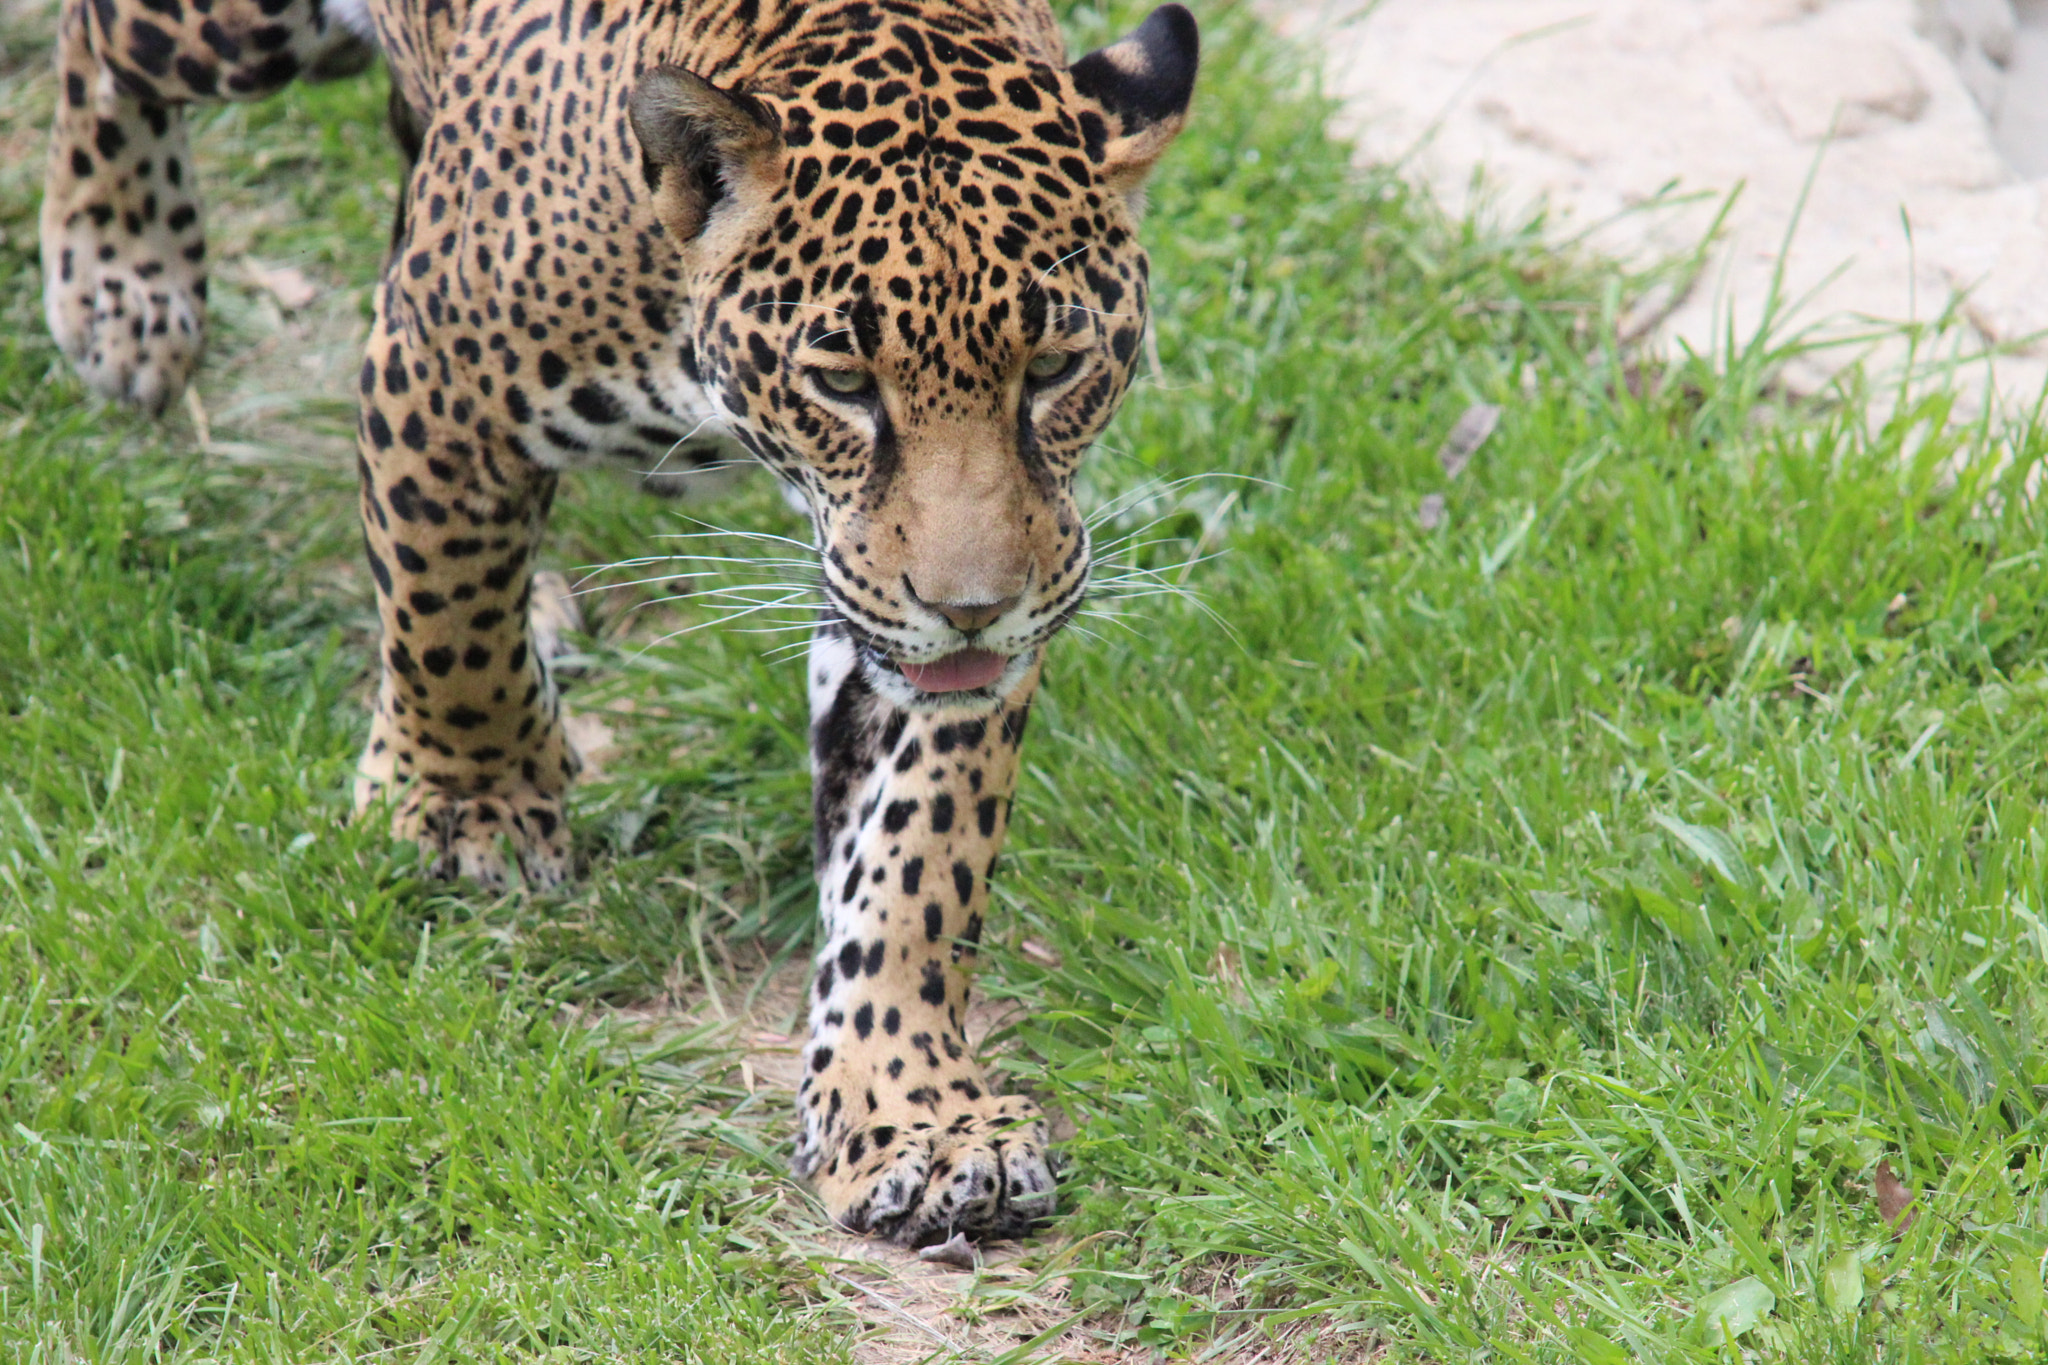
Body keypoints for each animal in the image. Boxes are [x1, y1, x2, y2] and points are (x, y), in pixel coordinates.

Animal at [41, 0, 1197, 1246]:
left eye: (1057, 366)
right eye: (842, 382)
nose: (974, 609)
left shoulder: (912, 602)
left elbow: (919, 847)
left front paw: (913, 1111)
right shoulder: (435, 375)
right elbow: (448, 612)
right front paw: (470, 806)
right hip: (224, 38)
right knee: (102, 53)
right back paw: (120, 283)